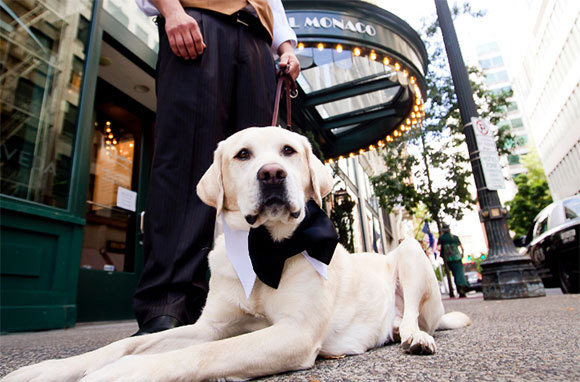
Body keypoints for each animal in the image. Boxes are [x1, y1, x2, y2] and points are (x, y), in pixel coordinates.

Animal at [5, 127, 472, 380]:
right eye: (243, 154)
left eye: (288, 151)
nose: (273, 174)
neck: (261, 246)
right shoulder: (210, 325)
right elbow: (125, 345)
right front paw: (50, 369)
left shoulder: (294, 333)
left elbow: (203, 355)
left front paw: (121, 375)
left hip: (410, 253)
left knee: (413, 316)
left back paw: (414, 335)